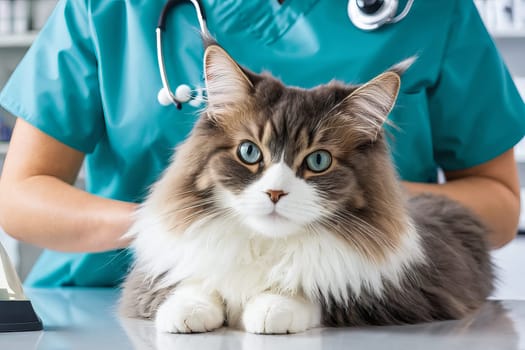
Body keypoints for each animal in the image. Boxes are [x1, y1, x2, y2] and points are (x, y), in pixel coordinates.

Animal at [118, 43, 492, 334]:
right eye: (249, 152)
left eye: (318, 161)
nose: (275, 193)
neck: (267, 245)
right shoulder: (155, 278)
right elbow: (191, 283)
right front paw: (189, 310)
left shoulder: (404, 294)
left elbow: (315, 292)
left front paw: (272, 306)